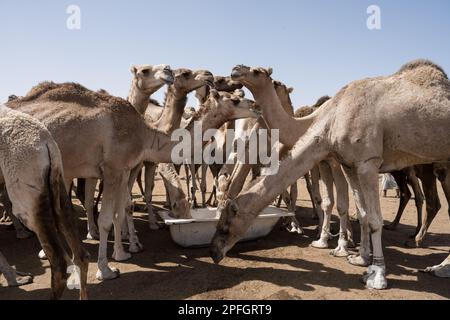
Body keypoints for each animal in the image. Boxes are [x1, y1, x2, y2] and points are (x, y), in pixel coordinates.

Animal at [6, 84, 256, 282]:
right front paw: (106, 270)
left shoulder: (124, 170)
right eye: (234, 99)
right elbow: (106, 219)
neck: (144, 134)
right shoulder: (112, 169)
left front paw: (122, 252)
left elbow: (119, 212)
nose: (255, 105)